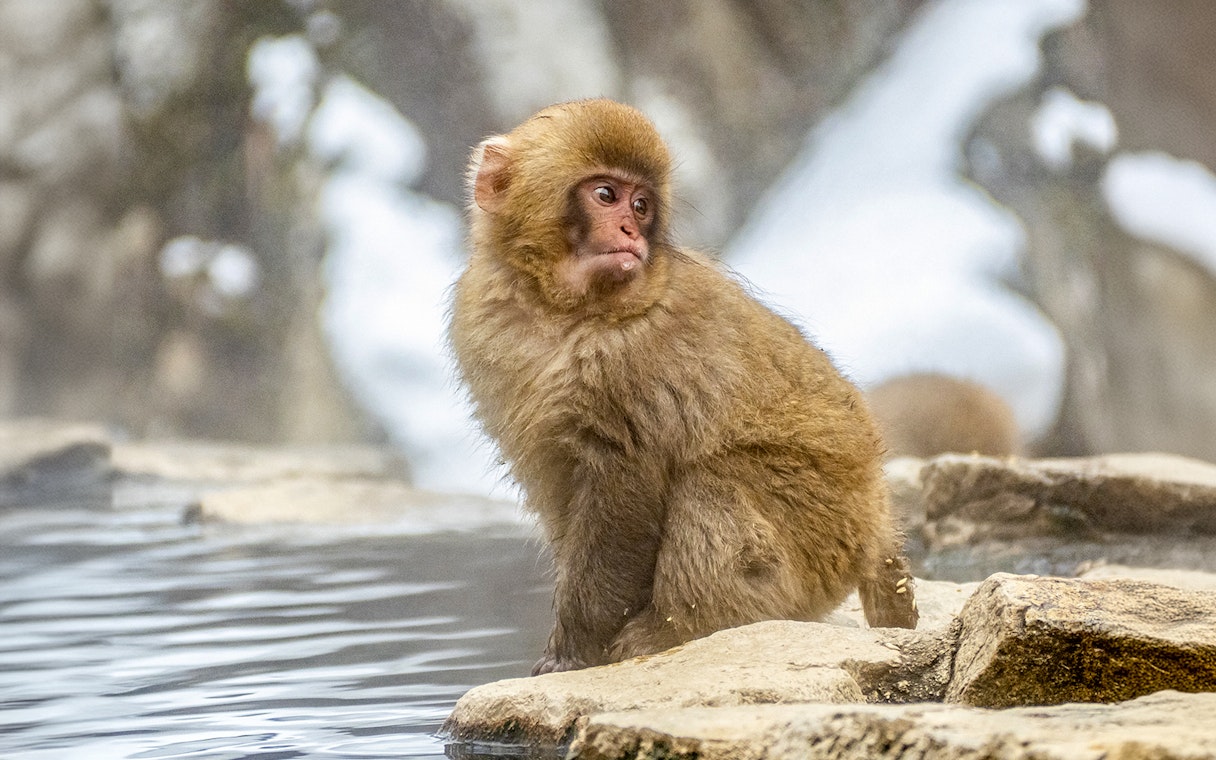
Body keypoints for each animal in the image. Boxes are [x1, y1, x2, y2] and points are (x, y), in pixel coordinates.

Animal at [448, 99, 917, 675]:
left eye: (642, 205)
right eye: (607, 195)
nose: (630, 230)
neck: (562, 309)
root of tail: (876, 516)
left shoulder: (633, 365)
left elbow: (623, 492)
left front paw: (572, 649)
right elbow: (559, 488)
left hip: (825, 535)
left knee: (710, 482)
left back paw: (678, 629)